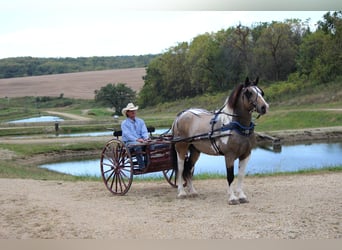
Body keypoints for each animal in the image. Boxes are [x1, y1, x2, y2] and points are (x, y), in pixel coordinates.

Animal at [172, 77, 268, 205]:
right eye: (249, 93)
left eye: (261, 92)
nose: (264, 107)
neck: (236, 127)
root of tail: (180, 115)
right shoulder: (229, 156)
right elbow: (230, 176)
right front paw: (232, 198)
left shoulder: (246, 154)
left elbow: (241, 175)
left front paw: (241, 196)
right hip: (181, 148)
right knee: (181, 168)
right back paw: (181, 192)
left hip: (195, 151)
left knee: (188, 169)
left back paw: (193, 191)